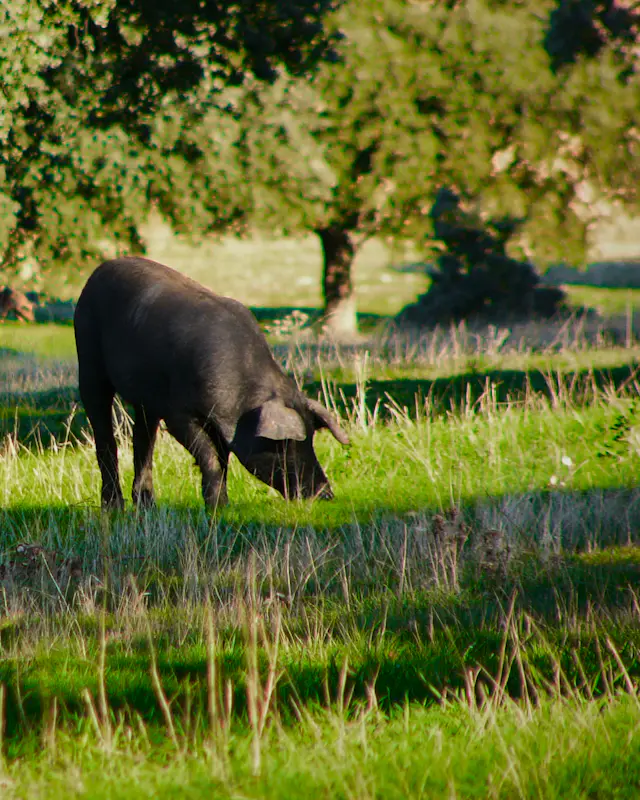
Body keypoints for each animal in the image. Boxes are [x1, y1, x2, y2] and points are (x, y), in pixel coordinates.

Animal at [73, 257, 349, 510]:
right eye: (286, 445)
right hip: (87, 356)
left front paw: (222, 505)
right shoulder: (179, 413)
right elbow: (209, 457)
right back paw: (113, 507)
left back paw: (147, 505)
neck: (242, 397)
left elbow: (222, 459)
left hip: (146, 399)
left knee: (143, 440)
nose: (326, 493)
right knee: (104, 432)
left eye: (311, 439)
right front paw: (216, 506)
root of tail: (100, 270)